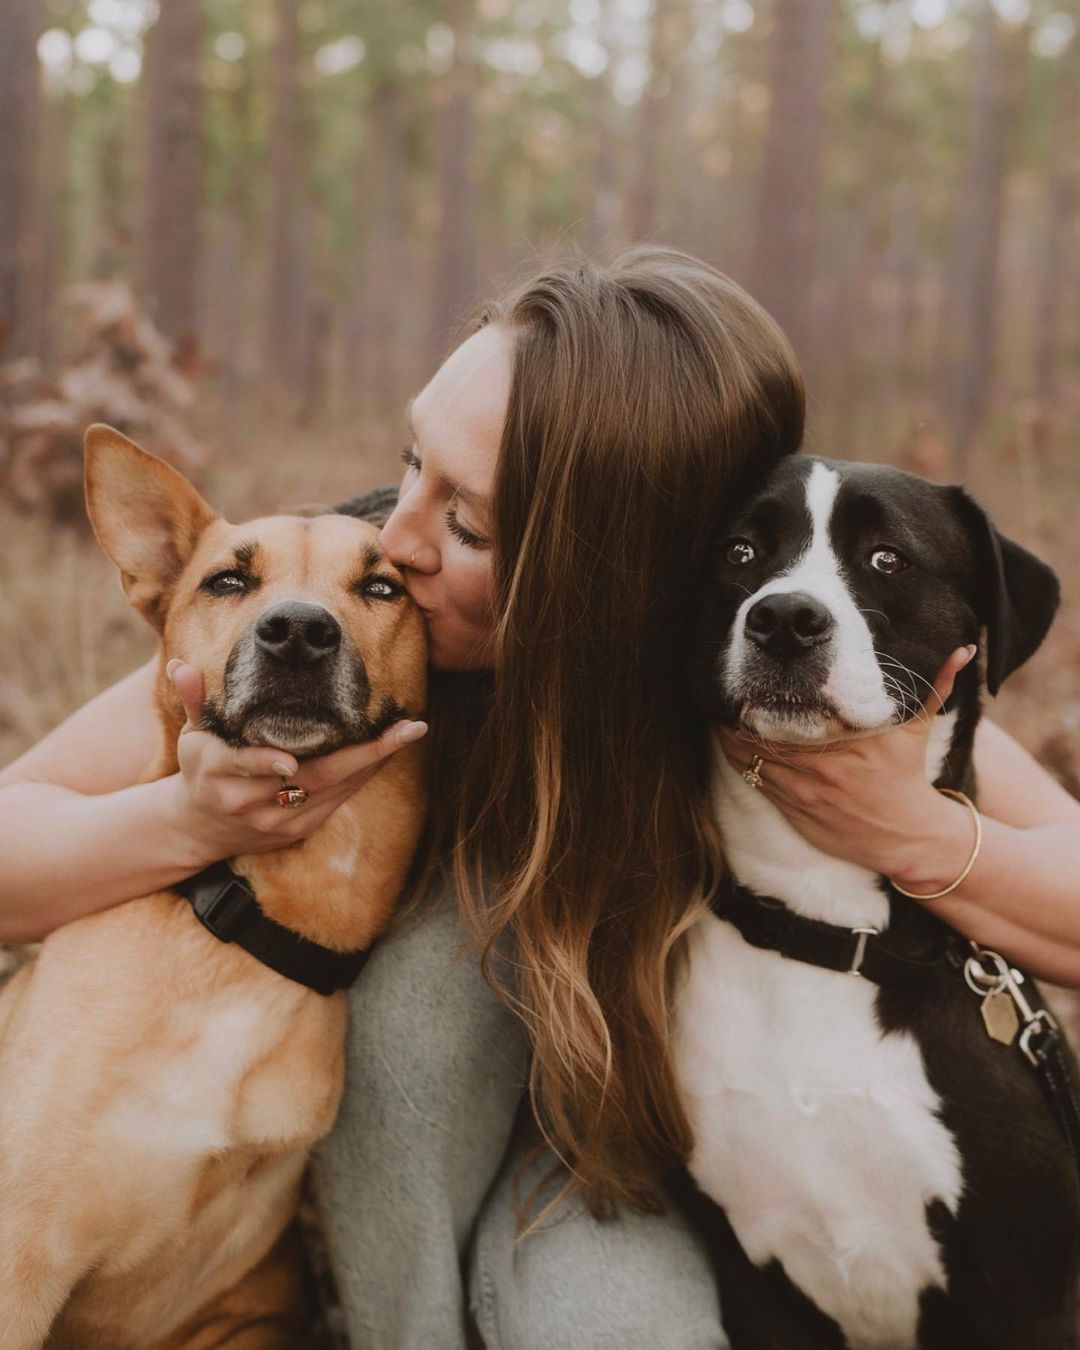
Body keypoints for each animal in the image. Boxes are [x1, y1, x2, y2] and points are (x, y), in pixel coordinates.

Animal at [0, 429, 429, 1350]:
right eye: (227, 581)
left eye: (383, 587)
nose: (298, 632)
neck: (247, 927)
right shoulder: (21, 1259)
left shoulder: (246, 1312)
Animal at [675, 456, 1080, 1350]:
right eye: (741, 551)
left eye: (887, 558)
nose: (786, 620)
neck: (822, 923)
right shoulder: (752, 1283)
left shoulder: (1031, 1293)